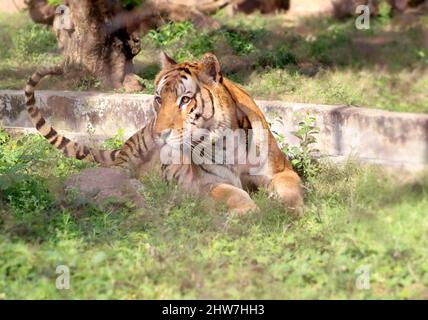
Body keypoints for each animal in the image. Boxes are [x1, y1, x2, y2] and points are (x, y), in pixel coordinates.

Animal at [24, 52, 304, 215]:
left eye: (185, 99)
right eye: (159, 99)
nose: (160, 133)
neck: (228, 141)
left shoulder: (281, 170)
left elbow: (290, 188)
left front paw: (291, 210)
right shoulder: (207, 183)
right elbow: (233, 194)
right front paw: (250, 212)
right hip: (134, 152)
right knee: (118, 176)